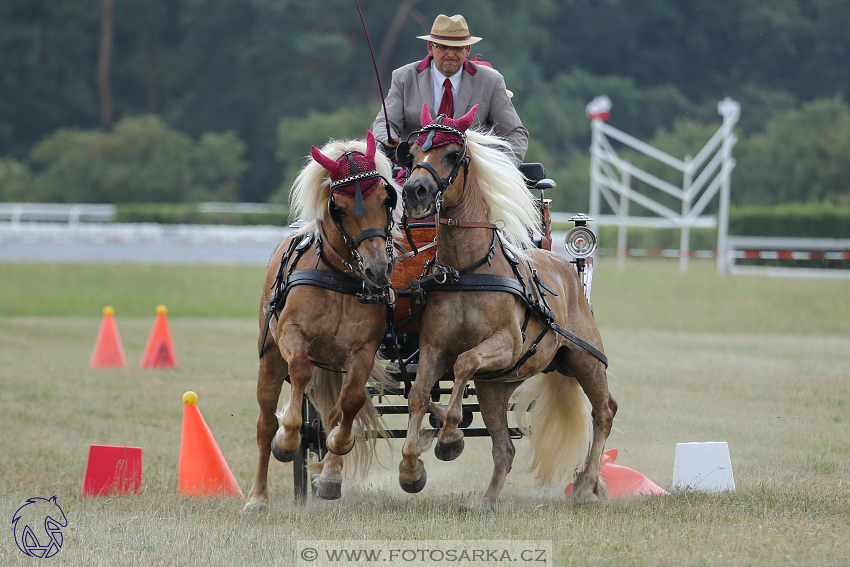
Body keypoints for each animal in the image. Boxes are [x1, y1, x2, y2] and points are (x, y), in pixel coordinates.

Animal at [243, 131, 402, 512]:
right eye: (338, 208)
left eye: (385, 199)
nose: (378, 270)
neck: (340, 276)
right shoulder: (292, 336)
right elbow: (299, 374)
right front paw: (288, 438)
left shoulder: (362, 351)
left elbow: (351, 402)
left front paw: (336, 453)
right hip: (270, 356)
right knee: (264, 423)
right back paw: (258, 496)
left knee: (334, 410)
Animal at [390, 105, 616, 510]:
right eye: (411, 155)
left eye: (452, 155)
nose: (415, 191)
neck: (465, 271)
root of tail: (567, 266)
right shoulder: (432, 348)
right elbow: (418, 395)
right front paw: (412, 468)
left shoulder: (506, 344)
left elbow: (464, 363)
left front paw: (449, 438)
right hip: (497, 385)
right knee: (504, 447)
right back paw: (488, 500)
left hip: (585, 359)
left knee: (604, 412)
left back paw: (587, 487)